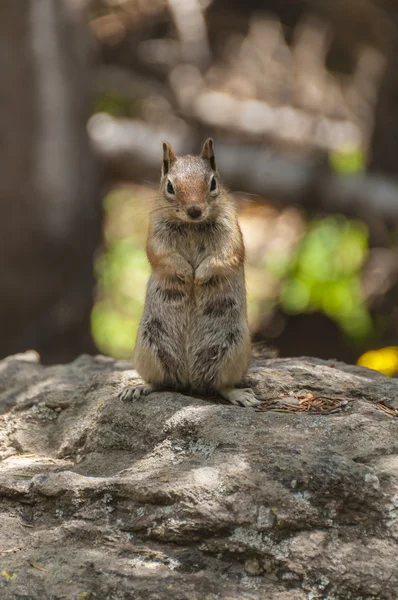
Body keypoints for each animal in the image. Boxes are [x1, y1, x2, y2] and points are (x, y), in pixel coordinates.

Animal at [119, 138, 260, 406]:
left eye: (213, 182)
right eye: (170, 186)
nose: (195, 210)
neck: (192, 225)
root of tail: (189, 380)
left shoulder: (230, 231)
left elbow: (226, 255)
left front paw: (200, 277)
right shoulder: (156, 235)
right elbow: (161, 255)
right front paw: (187, 273)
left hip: (235, 351)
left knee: (220, 385)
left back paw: (239, 395)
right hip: (148, 348)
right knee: (160, 382)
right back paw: (138, 388)